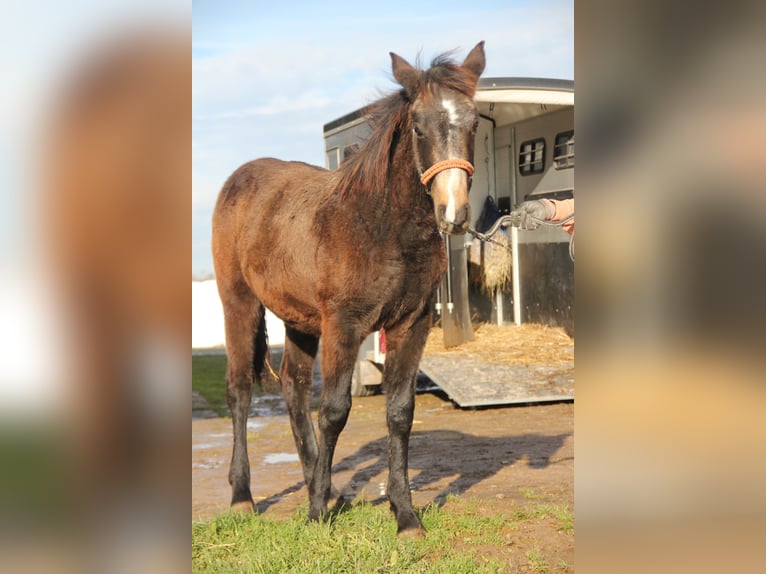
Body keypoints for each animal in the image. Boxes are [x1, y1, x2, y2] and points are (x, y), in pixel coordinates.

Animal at [212, 39, 486, 536]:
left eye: (474, 121)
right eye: (418, 127)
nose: (453, 214)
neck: (382, 225)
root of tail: (238, 179)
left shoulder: (411, 325)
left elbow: (399, 413)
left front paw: (405, 515)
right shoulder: (344, 326)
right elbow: (335, 411)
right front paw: (316, 514)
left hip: (300, 320)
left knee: (294, 389)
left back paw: (325, 489)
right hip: (238, 303)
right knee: (240, 390)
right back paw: (244, 496)